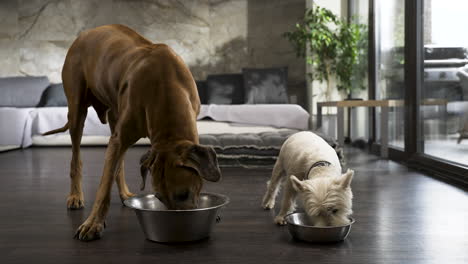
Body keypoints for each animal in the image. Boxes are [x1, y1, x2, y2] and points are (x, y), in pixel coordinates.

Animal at [44, 24, 220, 241]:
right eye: (159, 197)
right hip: (77, 110)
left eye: (183, 194)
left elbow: (114, 167)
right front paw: (92, 223)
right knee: (77, 157)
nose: (177, 228)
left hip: (114, 112)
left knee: (117, 163)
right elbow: (103, 188)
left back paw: (125, 194)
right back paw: (76, 196)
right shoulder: (120, 138)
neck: (166, 83)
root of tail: (84, 35)